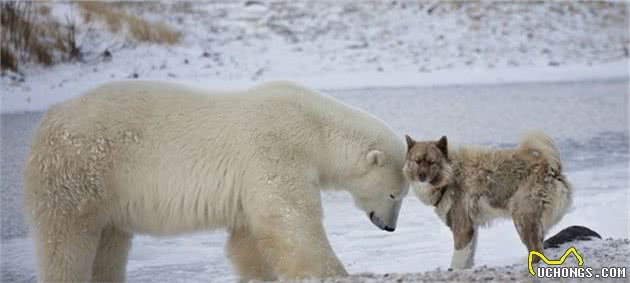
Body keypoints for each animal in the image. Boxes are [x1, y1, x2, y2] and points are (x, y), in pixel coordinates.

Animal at [23, 81, 410, 282]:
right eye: (395, 194)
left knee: (110, 243)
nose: (390, 228)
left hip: (107, 192)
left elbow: (249, 236)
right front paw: (335, 272)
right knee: (67, 240)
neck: (314, 129)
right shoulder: (275, 147)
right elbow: (291, 219)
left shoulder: (250, 182)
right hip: (82, 171)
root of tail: (48, 120)